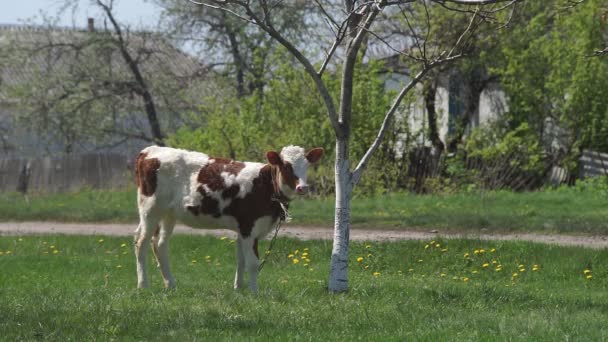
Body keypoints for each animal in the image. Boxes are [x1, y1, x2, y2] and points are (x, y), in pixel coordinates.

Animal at [133, 144, 324, 292]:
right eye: (285, 166)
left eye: (307, 165)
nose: (302, 187)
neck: (265, 186)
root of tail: (149, 151)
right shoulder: (248, 226)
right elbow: (253, 263)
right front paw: (255, 293)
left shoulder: (244, 228)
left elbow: (241, 260)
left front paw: (239, 288)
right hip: (150, 209)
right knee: (141, 242)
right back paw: (143, 285)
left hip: (168, 213)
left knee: (160, 244)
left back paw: (170, 284)